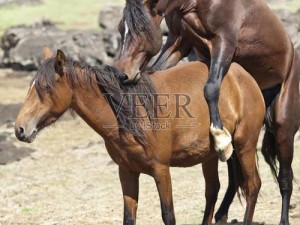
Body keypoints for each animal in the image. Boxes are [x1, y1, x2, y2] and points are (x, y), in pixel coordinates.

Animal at [14, 48, 264, 225]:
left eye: (46, 88)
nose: (20, 129)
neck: (131, 114)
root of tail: (244, 76)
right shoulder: (127, 172)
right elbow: (129, 217)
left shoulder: (161, 170)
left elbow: (168, 215)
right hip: (210, 155)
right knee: (212, 191)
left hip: (245, 145)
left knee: (253, 185)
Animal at [115, 0, 300, 224]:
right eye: (120, 28)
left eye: (141, 29)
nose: (123, 74)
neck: (193, 5)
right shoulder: (180, 41)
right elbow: (157, 70)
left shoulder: (224, 42)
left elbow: (211, 87)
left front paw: (219, 134)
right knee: (235, 179)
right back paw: (221, 214)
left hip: (283, 129)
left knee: (284, 178)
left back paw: (282, 219)